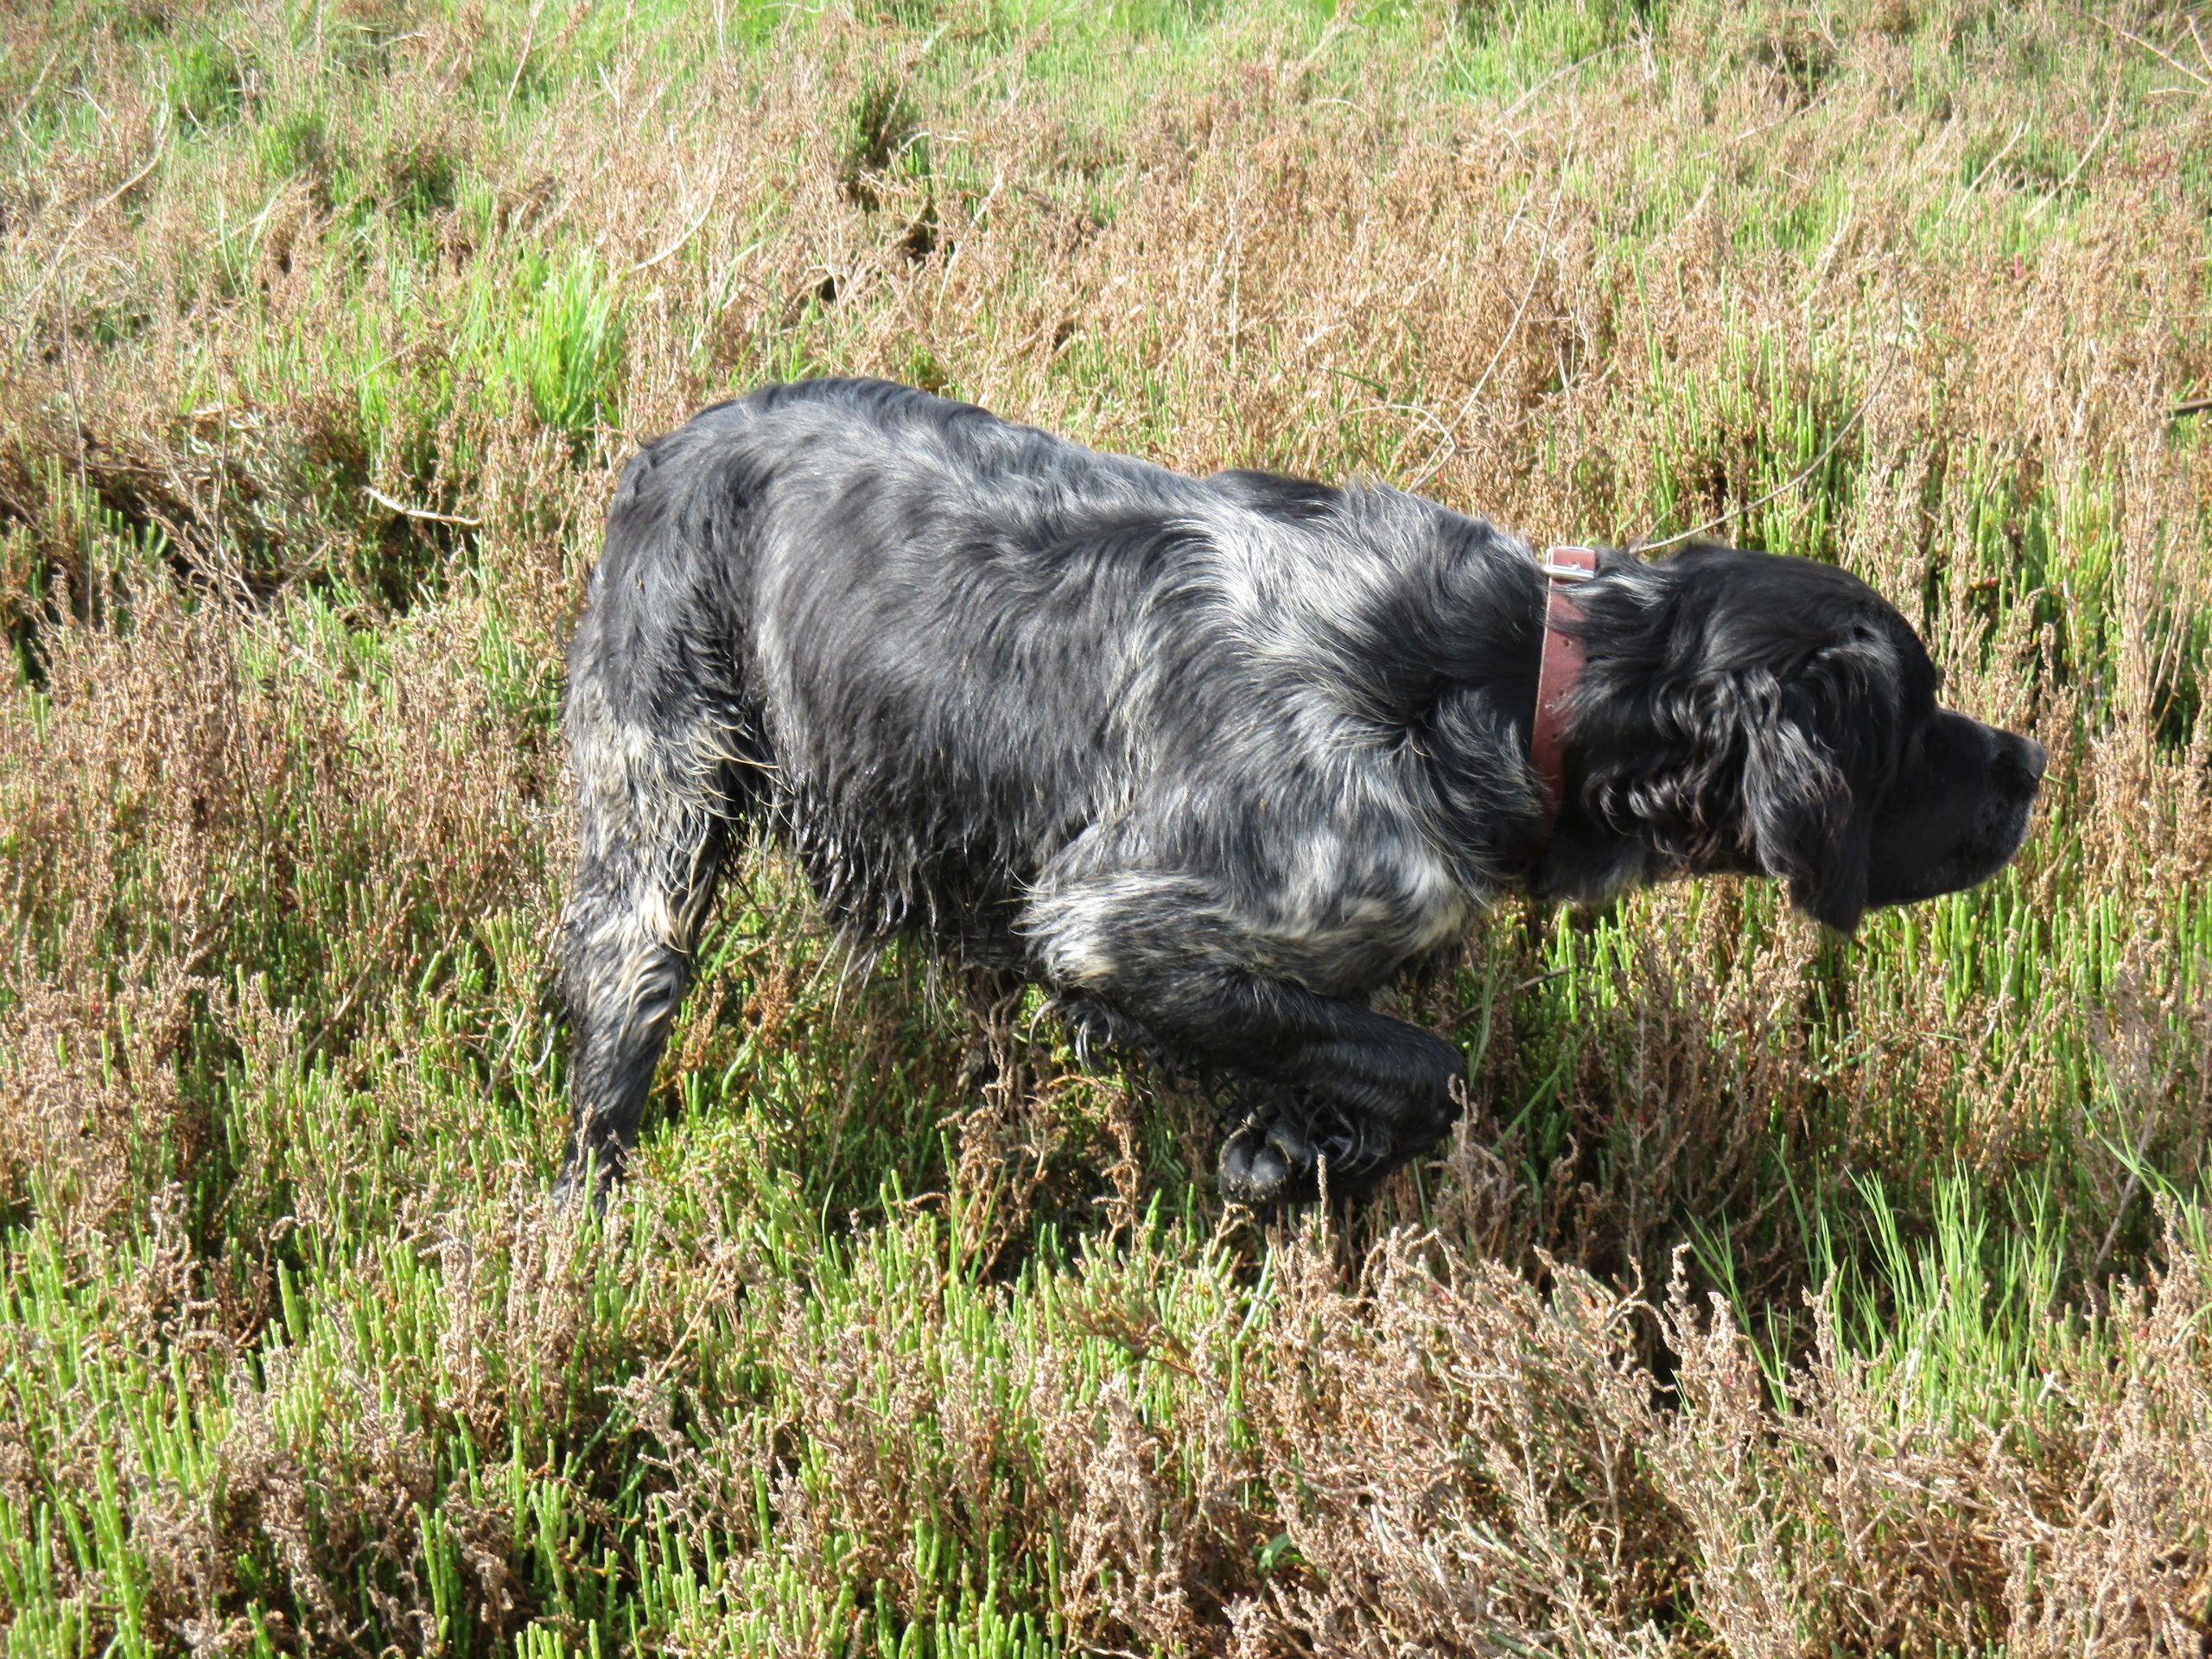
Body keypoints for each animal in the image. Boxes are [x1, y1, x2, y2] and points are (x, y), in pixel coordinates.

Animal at [553, 377, 2045, 1205]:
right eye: (1914, 719)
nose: (2030, 764)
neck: (1510, 680)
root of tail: (674, 446)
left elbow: (1361, 1053)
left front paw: (1305, 1142)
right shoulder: (1115, 923)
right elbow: (1432, 1071)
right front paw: (1293, 1161)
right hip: (660, 830)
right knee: (609, 1070)